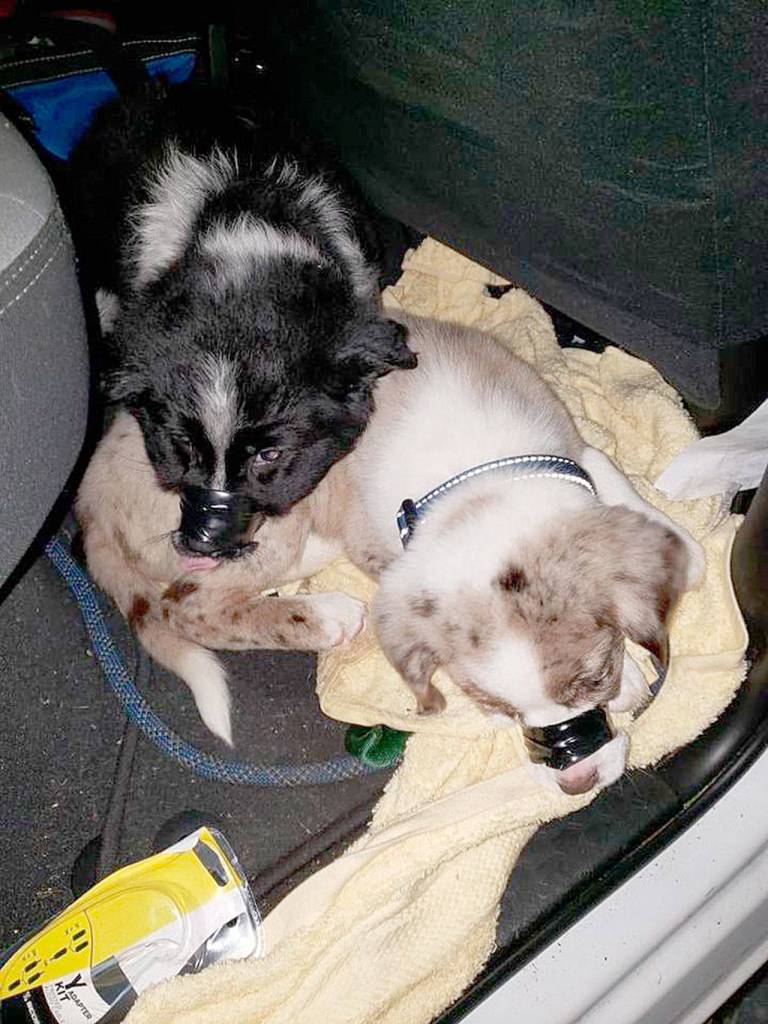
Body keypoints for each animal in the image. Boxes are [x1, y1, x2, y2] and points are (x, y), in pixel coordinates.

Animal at [78, 315, 704, 792]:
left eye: (590, 682)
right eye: (496, 708)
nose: (576, 783)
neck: (474, 481)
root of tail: (88, 498)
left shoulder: (573, 452)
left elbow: (615, 482)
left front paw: (686, 552)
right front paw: (633, 680)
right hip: (264, 512)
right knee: (189, 604)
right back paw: (324, 615)